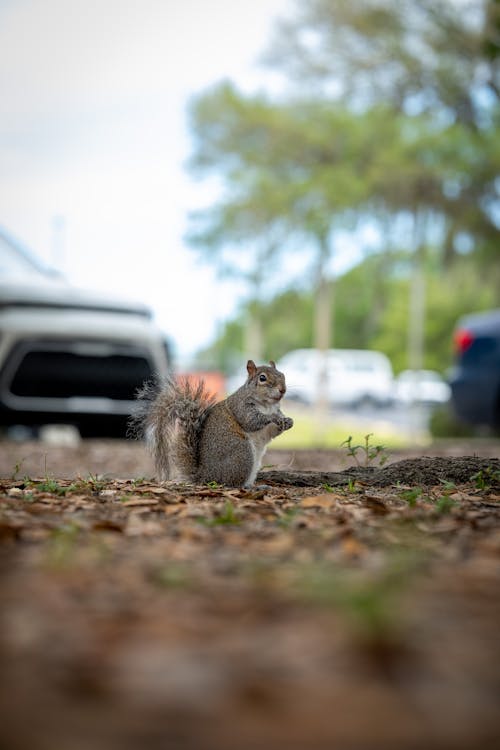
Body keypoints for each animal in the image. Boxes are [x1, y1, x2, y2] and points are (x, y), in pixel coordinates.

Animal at [131, 362, 294, 490]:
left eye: (283, 375)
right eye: (262, 378)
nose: (283, 390)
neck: (267, 405)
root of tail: (205, 476)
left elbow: (272, 432)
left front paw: (288, 421)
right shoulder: (241, 407)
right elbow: (252, 421)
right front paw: (272, 418)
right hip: (242, 453)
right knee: (232, 484)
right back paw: (250, 488)